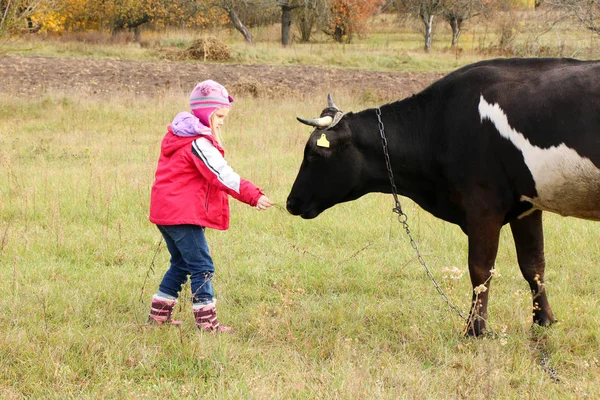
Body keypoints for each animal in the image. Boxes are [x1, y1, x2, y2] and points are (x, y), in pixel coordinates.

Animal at [288, 57, 600, 336]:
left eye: (314, 153)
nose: (291, 202)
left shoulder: (482, 206)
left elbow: (480, 269)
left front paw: (474, 330)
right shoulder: (526, 206)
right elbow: (533, 265)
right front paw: (543, 321)